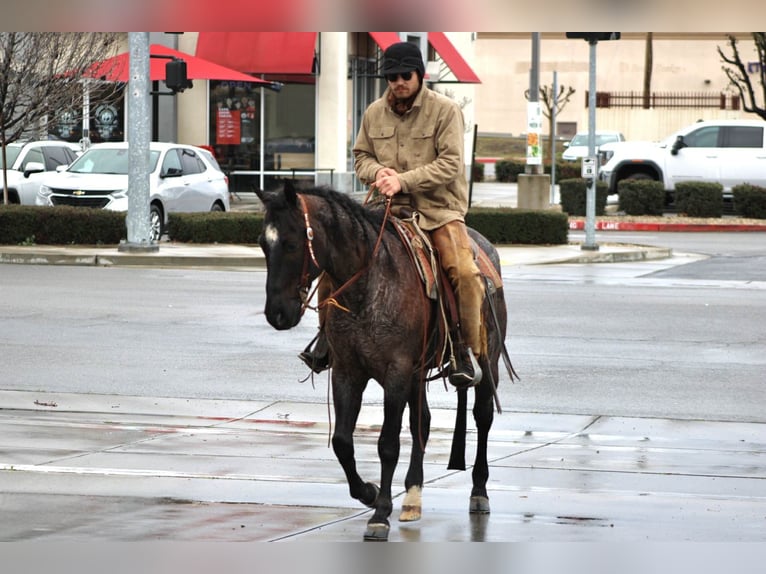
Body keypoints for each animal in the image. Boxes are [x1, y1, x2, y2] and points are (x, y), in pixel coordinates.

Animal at [255, 180, 516, 541]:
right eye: (262, 245)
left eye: (292, 244)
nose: (277, 314)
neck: (367, 285)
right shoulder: (348, 372)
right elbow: (342, 442)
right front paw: (368, 492)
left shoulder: (396, 373)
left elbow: (388, 444)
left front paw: (380, 513)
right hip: (418, 373)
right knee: (422, 421)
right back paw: (412, 496)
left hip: (486, 360)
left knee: (482, 417)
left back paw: (479, 491)